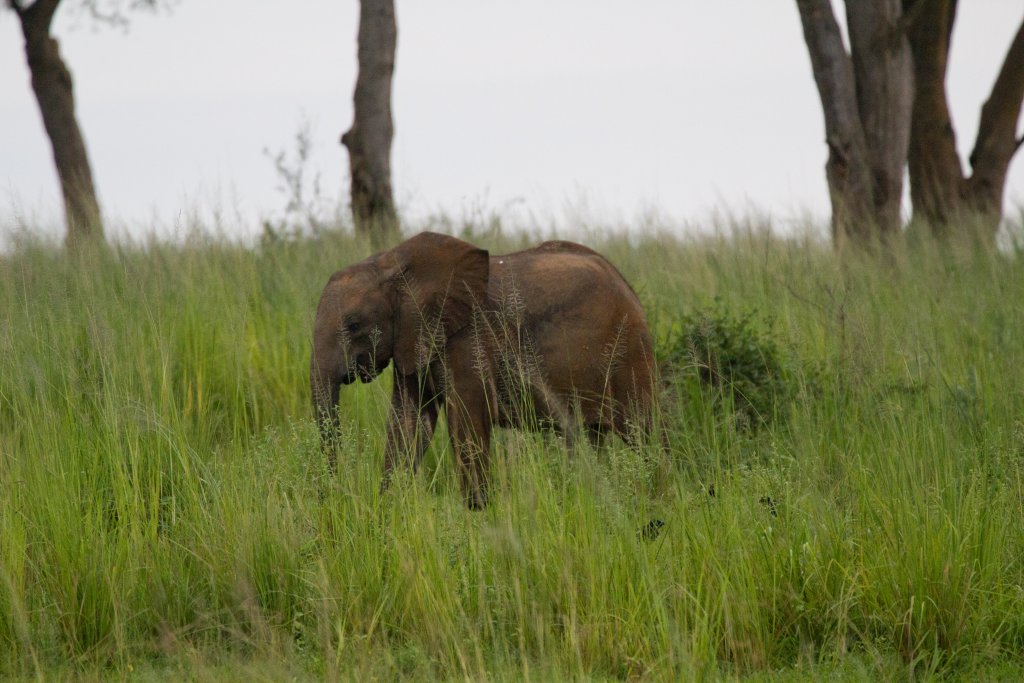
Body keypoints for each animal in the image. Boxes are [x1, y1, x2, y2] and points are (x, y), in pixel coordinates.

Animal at [311, 231, 658, 509]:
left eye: (353, 324)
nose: (335, 491)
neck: (390, 262)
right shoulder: (413, 337)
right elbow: (408, 422)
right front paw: (389, 507)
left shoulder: (469, 338)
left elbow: (466, 420)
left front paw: (477, 513)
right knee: (588, 439)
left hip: (629, 352)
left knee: (645, 433)